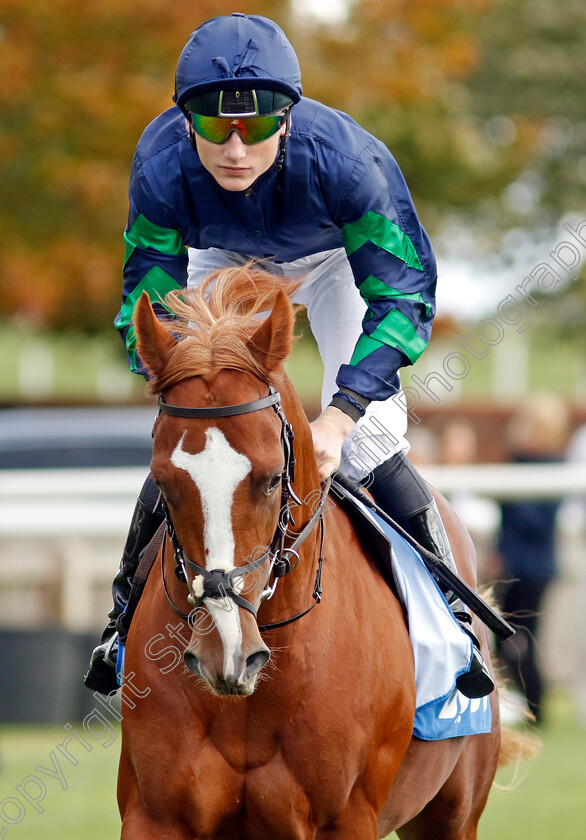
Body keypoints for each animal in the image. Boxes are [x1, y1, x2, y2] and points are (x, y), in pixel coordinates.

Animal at [120, 270, 502, 840]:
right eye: (162, 483)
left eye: (271, 478)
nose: (224, 652)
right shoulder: (156, 815)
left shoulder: (345, 819)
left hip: (453, 814)